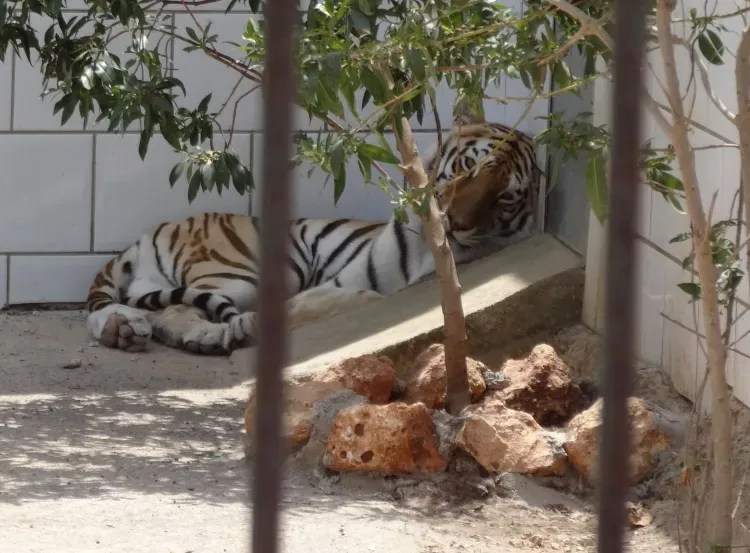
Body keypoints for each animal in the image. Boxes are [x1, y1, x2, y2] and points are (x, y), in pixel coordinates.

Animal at [86, 114, 540, 354]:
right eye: (467, 167)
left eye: (505, 196)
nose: (456, 222)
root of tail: (148, 235)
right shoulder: (336, 279)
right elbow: (312, 304)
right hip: (246, 272)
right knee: (173, 309)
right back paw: (201, 333)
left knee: (156, 309)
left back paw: (134, 330)